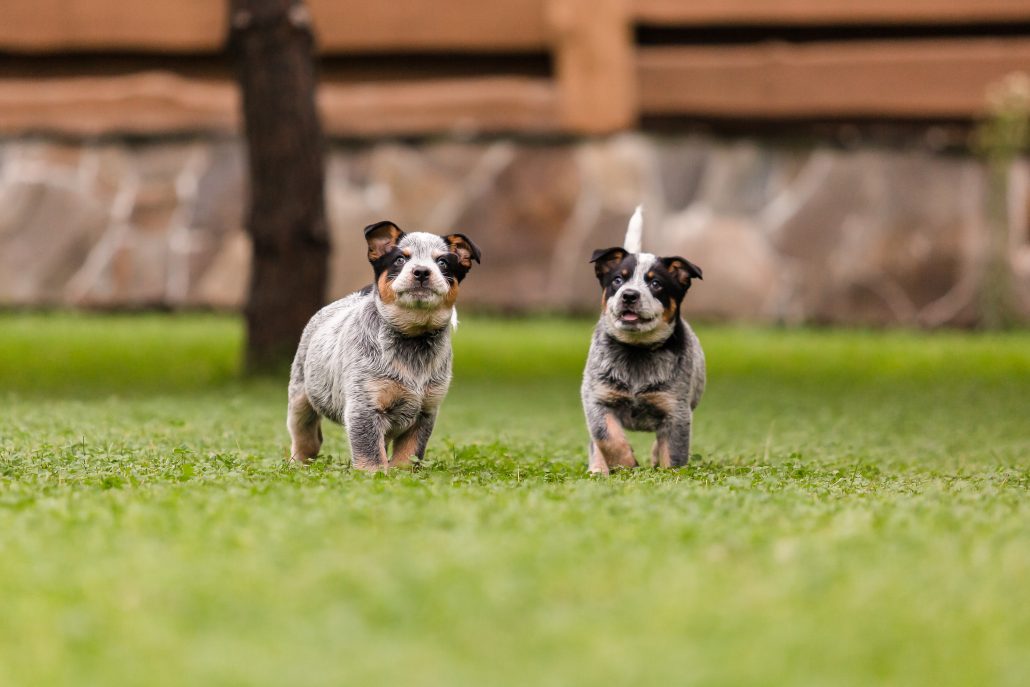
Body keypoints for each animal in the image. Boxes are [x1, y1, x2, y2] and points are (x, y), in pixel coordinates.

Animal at [288, 223, 479, 469]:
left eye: (443, 262)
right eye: (400, 259)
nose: (421, 271)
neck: (413, 338)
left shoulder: (426, 411)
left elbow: (408, 456)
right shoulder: (365, 407)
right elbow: (371, 456)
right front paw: (374, 474)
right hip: (301, 395)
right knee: (306, 437)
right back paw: (297, 463)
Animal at [585, 207, 704, 475]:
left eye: (656, 283)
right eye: (618, 280)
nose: (629, 295)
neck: (636, 352)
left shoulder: (676, 410)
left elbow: (673, 453)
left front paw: (667, 472)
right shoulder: (597, 400)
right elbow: (607, 437)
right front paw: (626, 464)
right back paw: (597, 468)